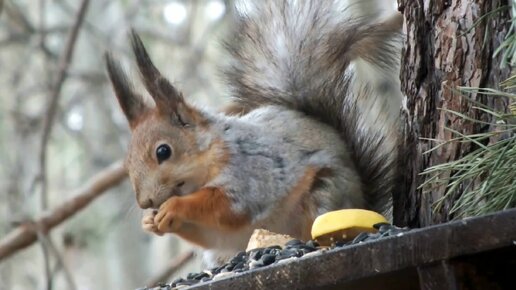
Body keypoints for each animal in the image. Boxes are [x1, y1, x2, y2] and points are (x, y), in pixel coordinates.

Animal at [104, 0, 404, 266]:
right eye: (127, 163)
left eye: (163, 151)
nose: (145, 202)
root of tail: (364, 199)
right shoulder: (218, 233)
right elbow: (210, 234)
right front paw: (150, 222)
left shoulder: (251, 174)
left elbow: (226, 206)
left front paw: (175, 207)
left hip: (325, 196)